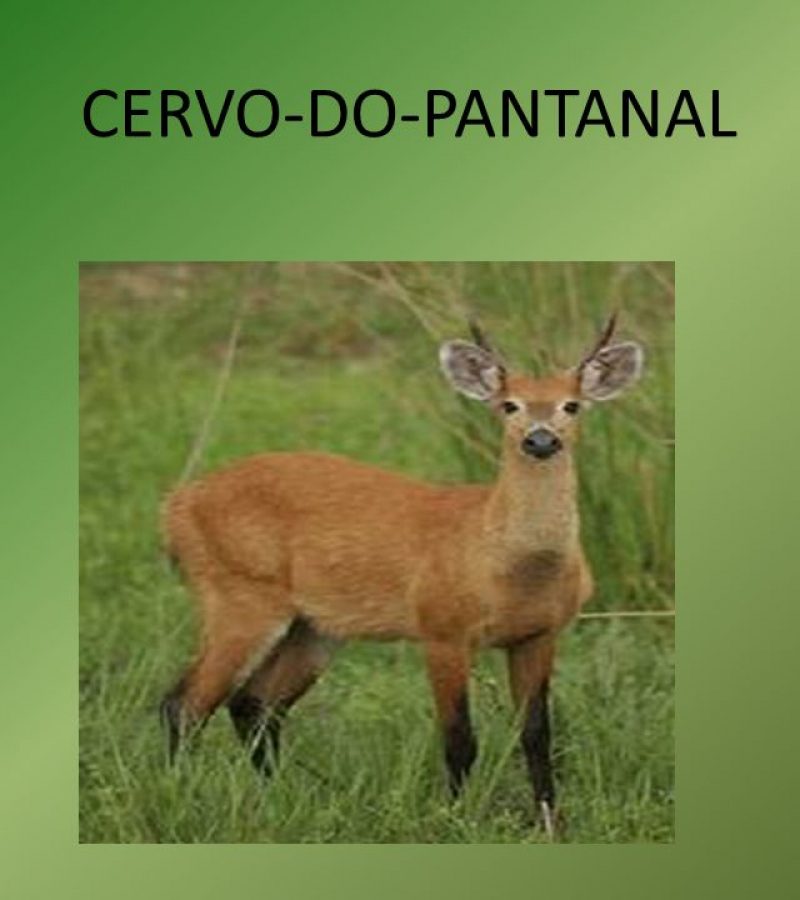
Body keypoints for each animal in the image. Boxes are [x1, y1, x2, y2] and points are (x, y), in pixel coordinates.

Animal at [160, 312, 644, 832]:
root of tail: (176, 505)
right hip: (238, 597)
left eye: (571, 405)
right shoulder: (442, 629)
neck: (506, 564)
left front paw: (550, 823)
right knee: (185, 703)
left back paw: (276, 797)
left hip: (314, 628)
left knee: (254, 704)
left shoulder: (537, 635)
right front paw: (456, 819)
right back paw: (182, 797)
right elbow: (459, 738)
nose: (539, 440)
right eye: (508, 404)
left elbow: (536, 734)